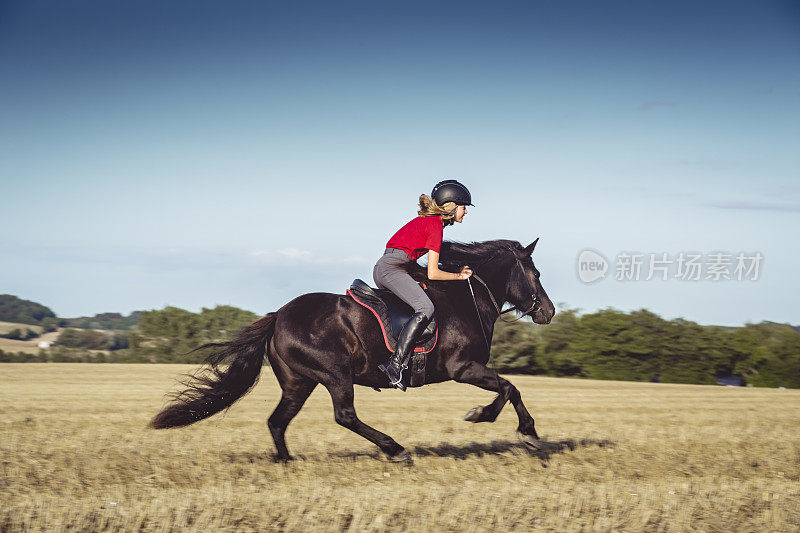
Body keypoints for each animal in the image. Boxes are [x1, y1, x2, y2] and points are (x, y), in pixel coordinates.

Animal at [150, 239, 552, 460]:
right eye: (535, 275)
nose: (548, 312)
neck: (466, 297)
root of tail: (278, 316)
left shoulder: (466, 369)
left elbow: (509, 388)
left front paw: (522, 431)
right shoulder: (462, 367)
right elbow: (509, 388)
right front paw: (511, 427)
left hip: (299, 382)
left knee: (278, 421)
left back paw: (287, 463)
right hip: (334, 374)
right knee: (344, 416)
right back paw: (395, 449)